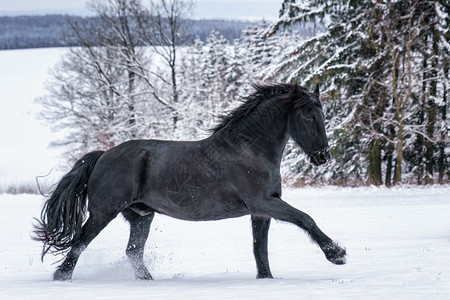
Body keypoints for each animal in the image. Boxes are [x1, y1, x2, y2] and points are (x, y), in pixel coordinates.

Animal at [33, 82, 346, 282]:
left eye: (322, 114)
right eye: (308, 116)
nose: (323, 156)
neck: (249, 150)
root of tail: (102, 156)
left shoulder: (261, 211)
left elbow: (260, 249)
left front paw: (266, 279)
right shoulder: (264, 203)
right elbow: (305, 219)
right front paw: (337, 254)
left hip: (141, 216)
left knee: (133, 252)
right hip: (103, 212)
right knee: (79, 244)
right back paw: (61, 278)